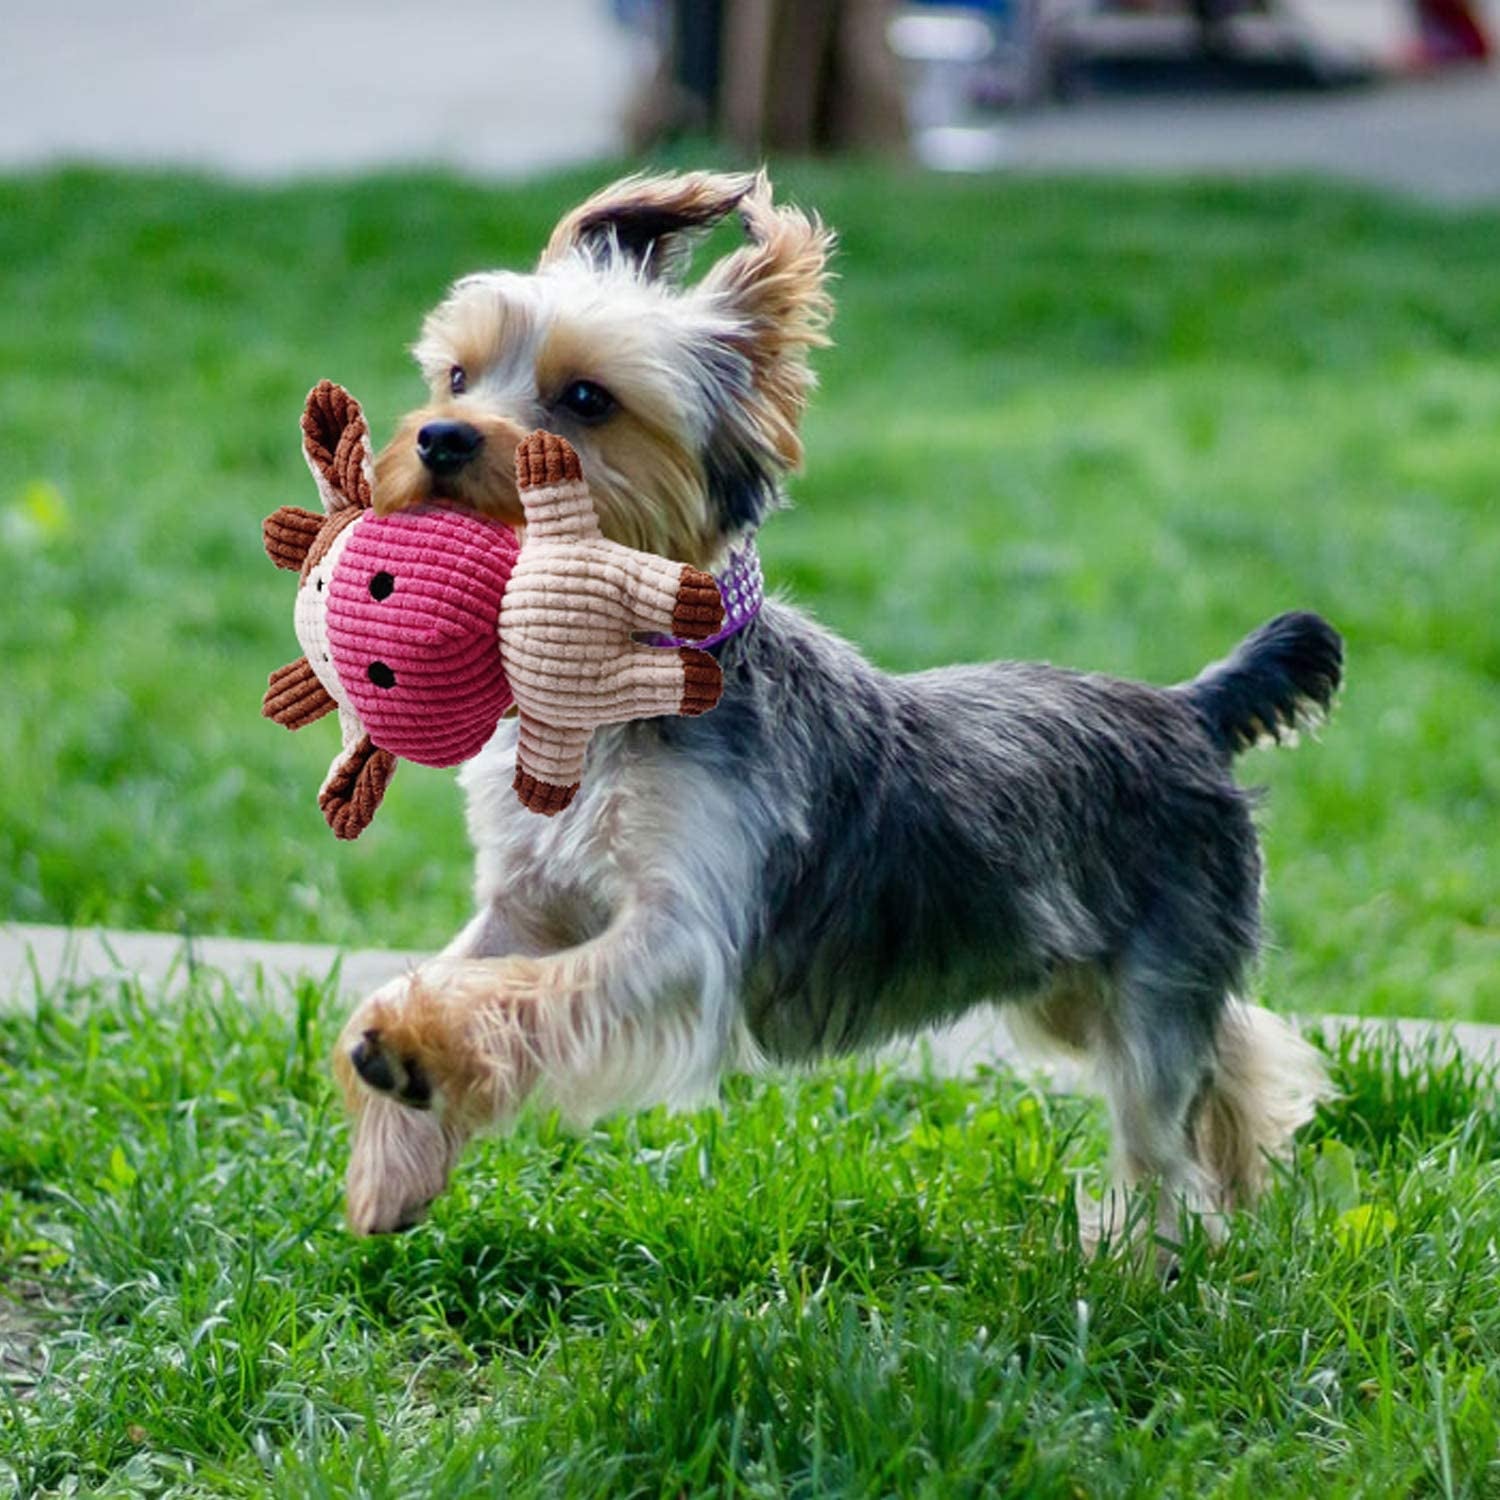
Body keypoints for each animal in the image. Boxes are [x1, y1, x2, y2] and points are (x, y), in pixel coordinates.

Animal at [334, 167, 1344, 1242]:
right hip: (1065, 976)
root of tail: (1192, 710)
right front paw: (392, 1138)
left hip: (1153, 964)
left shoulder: (683, 935)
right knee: (1233, 1054)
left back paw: (1146, 1257)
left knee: (1159, 1135)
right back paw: (1249, 1168)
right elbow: (459, 967)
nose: (440, 437)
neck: (612, 688)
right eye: (455, 376)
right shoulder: (532, 896)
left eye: (586, 400)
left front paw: (419, 1052)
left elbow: (528, 991)